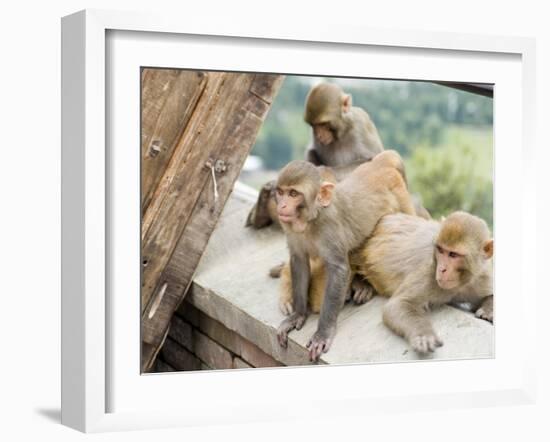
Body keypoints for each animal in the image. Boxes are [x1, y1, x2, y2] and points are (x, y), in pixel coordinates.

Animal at [248, 81, 386, 230]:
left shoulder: (361, 125)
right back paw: (261, 212)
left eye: (324, 124)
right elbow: (312, 152)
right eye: (314, 125)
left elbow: (372, 160)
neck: (341, 133)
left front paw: (322, 172)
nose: (319, 135)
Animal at [274, 150, 416, 360]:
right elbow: (299, 261)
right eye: (281, 192)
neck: (311, 220)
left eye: (293, 194)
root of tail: (380, 164)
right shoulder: (291, 230)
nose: (282, 206)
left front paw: (323, 333)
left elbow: (338, 270)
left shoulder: (330, 228)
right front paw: (298, 315)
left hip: (402, 198)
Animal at [280, 212, 496, 356]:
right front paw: (423, 335)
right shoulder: (428, 273)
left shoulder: (482, 276)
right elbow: (397, 306)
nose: (442, 269)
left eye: (453, 255)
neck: (461, 283)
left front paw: (488, 310)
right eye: (441, 250)